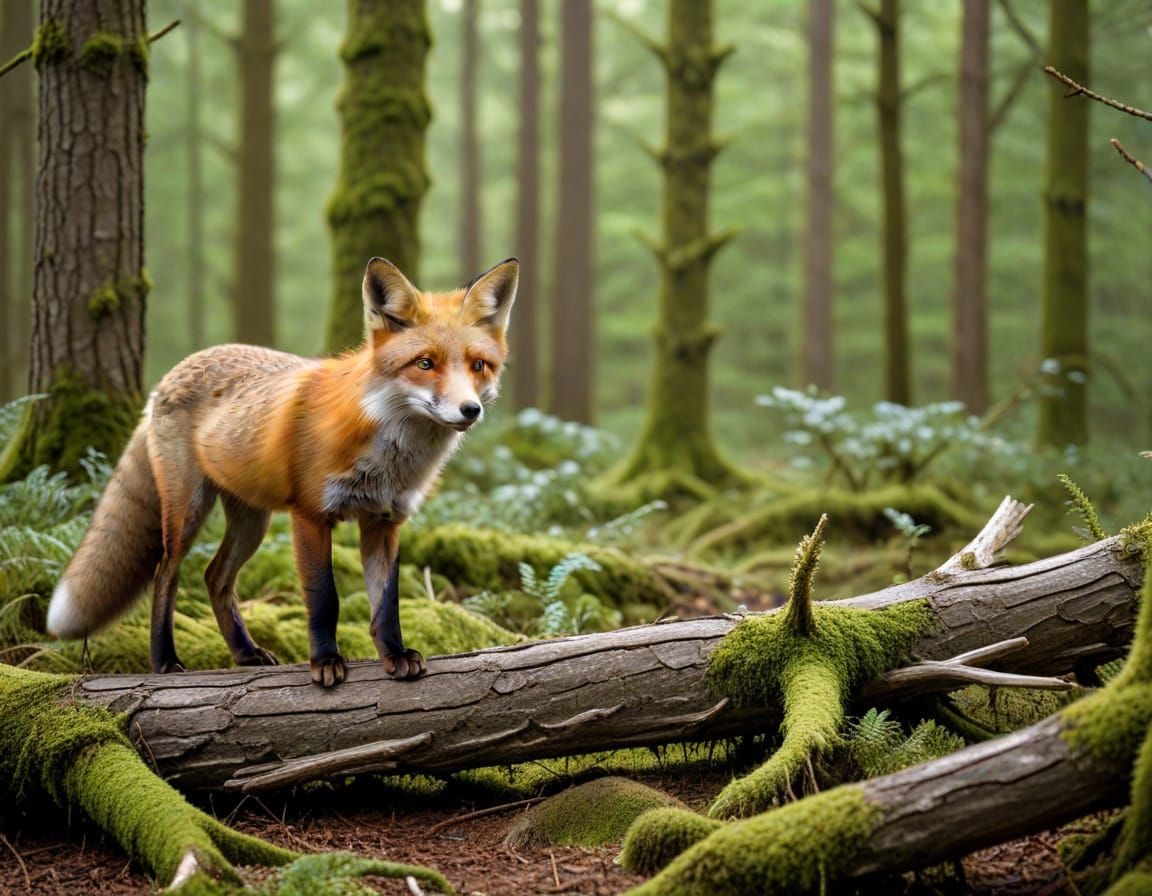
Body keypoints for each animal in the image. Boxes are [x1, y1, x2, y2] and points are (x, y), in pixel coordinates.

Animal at [46, 257, 518, 687]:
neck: (388, 456)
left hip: (252, 521)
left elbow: (387, 603)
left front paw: (395, 654)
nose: (469, 410)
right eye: (424, 364)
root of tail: (171, 373)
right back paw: (164, 660)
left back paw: (245, 652)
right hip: (187, 512)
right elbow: (324, 599)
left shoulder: (384, 520)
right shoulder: (309, 514)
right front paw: (325, 662)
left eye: (478, 365)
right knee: (167, 574)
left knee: (215, 576)